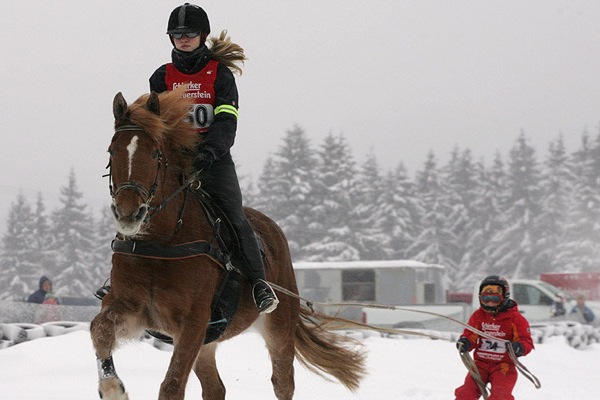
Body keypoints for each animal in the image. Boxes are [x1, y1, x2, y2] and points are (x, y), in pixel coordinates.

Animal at [89, 88, 366, 400]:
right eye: (112, 151)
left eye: (155, 153)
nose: (128, 213)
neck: (163, 242)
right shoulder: (130, 308)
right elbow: (99, 329)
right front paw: (112, 388)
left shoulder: (193, 323)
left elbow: (171, 386)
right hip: (208, 343)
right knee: (215, 388)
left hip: (279, 328)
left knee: (283, 383)